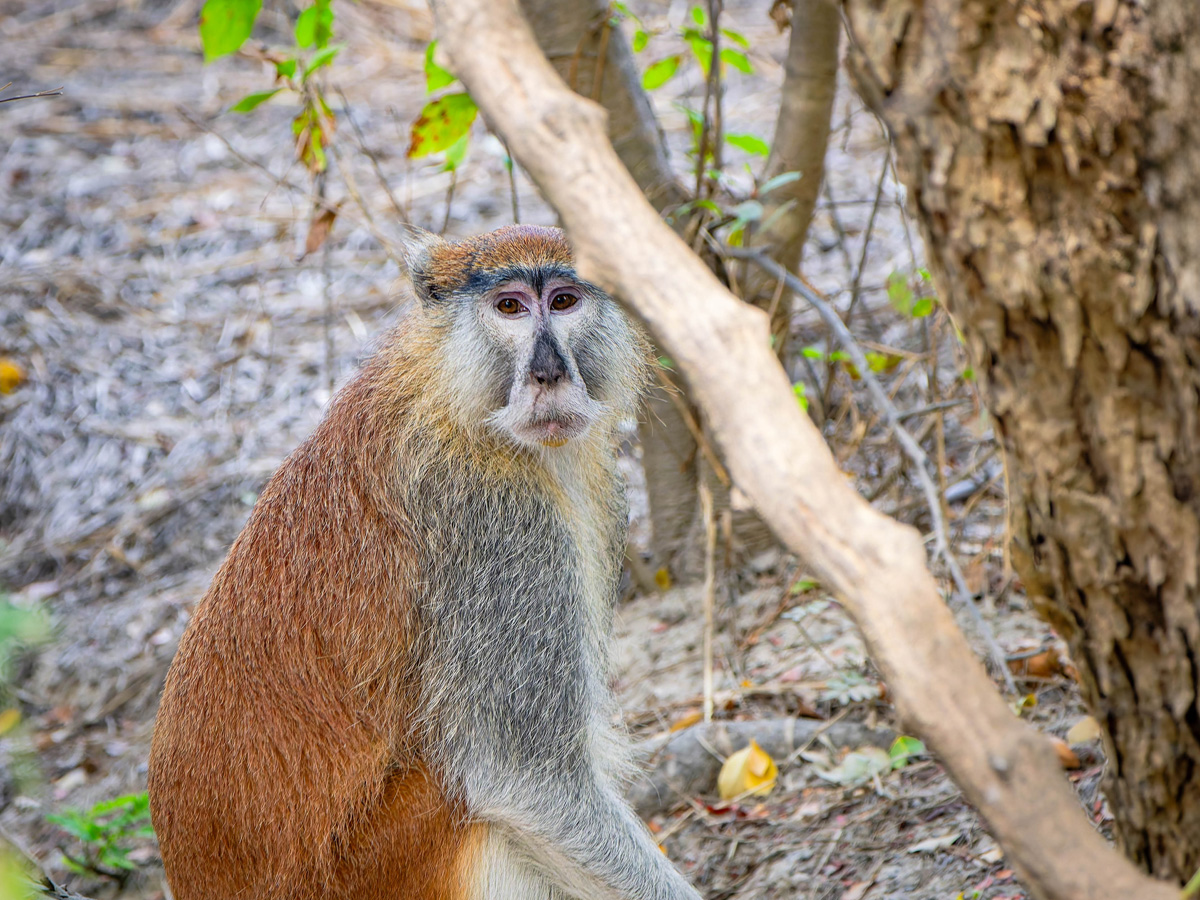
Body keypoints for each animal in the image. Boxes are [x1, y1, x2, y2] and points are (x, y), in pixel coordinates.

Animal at [147, 225, 703, 900]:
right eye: (510, 307)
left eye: (565, 301)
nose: (547, 373)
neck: (457, 401)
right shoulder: (498, 520)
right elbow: (526, 781)